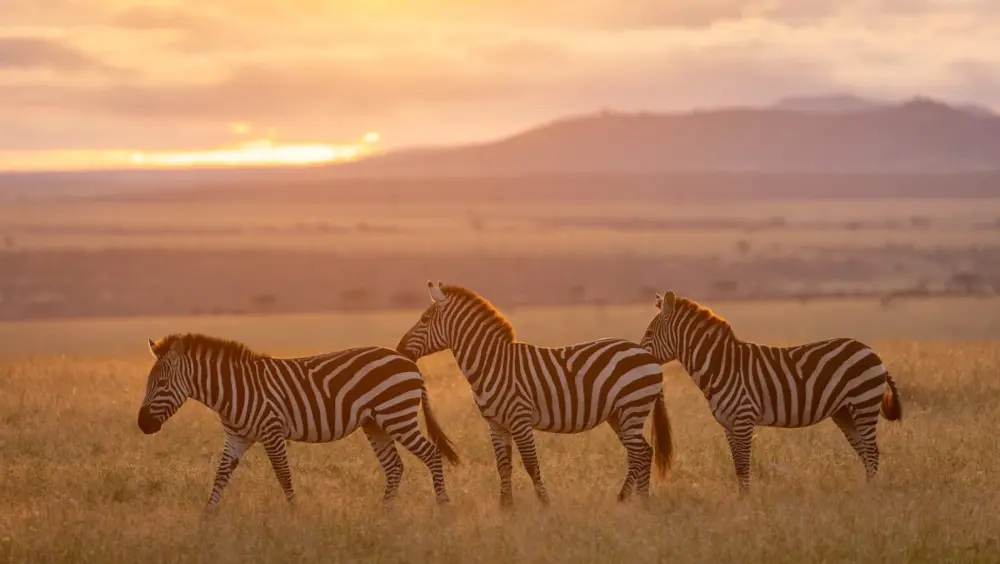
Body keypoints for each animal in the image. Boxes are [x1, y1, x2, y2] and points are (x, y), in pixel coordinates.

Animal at [137, 333, 460, 512]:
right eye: (148, 383)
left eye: (161, 384)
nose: (142, 425)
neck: (233, 390)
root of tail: (409, 363)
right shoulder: (237, 438)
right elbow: (220, 476)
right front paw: (207, 518)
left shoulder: (271, 431)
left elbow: (283, 475)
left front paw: (295, 514)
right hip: (375, 424)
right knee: (394, 467)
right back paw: (384, 514)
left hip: (397, 416)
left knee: (432, 454)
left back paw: (443, 507)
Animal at [395, 281, 673, 507]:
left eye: (425, 319)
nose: (399, 348)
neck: (492, 364)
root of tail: (647, 354)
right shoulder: (496, 424)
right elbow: (503, 466)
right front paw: (506, 507)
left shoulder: (519, 419)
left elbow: (530, 464)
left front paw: (544, 504)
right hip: (618, 414)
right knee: (644, 452)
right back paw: (641, 500)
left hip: (631, 408)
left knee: (639, 454)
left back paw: (625, 499)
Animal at [639, 291, 903, 493]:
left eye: (649, 333)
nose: (639, 357)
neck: (721, 366)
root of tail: (871, 351)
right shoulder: (728, 424)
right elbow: (737, 466)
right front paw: (742, 501)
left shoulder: (743, 419)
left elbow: (743, 465)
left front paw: (746, 502)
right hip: (844, 413)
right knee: (865, 452)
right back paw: (867, 490)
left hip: (863, 404)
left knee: (872, 452)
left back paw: (871, 494)